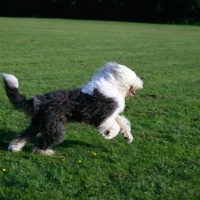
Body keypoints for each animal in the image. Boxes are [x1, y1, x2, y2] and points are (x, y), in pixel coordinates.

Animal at [2, 61, 143, 155]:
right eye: (135, 75)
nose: (142, 83)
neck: (112, 85)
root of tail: (38, 101)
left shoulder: (112, 114)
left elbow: (122, 122)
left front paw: (127, 136)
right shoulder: (103, 115)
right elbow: (115, 126)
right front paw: (109, 135)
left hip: (39, 123)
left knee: (24, 135)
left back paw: (14, 148)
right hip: (55, 127)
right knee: (41, 143)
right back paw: (45, 152)